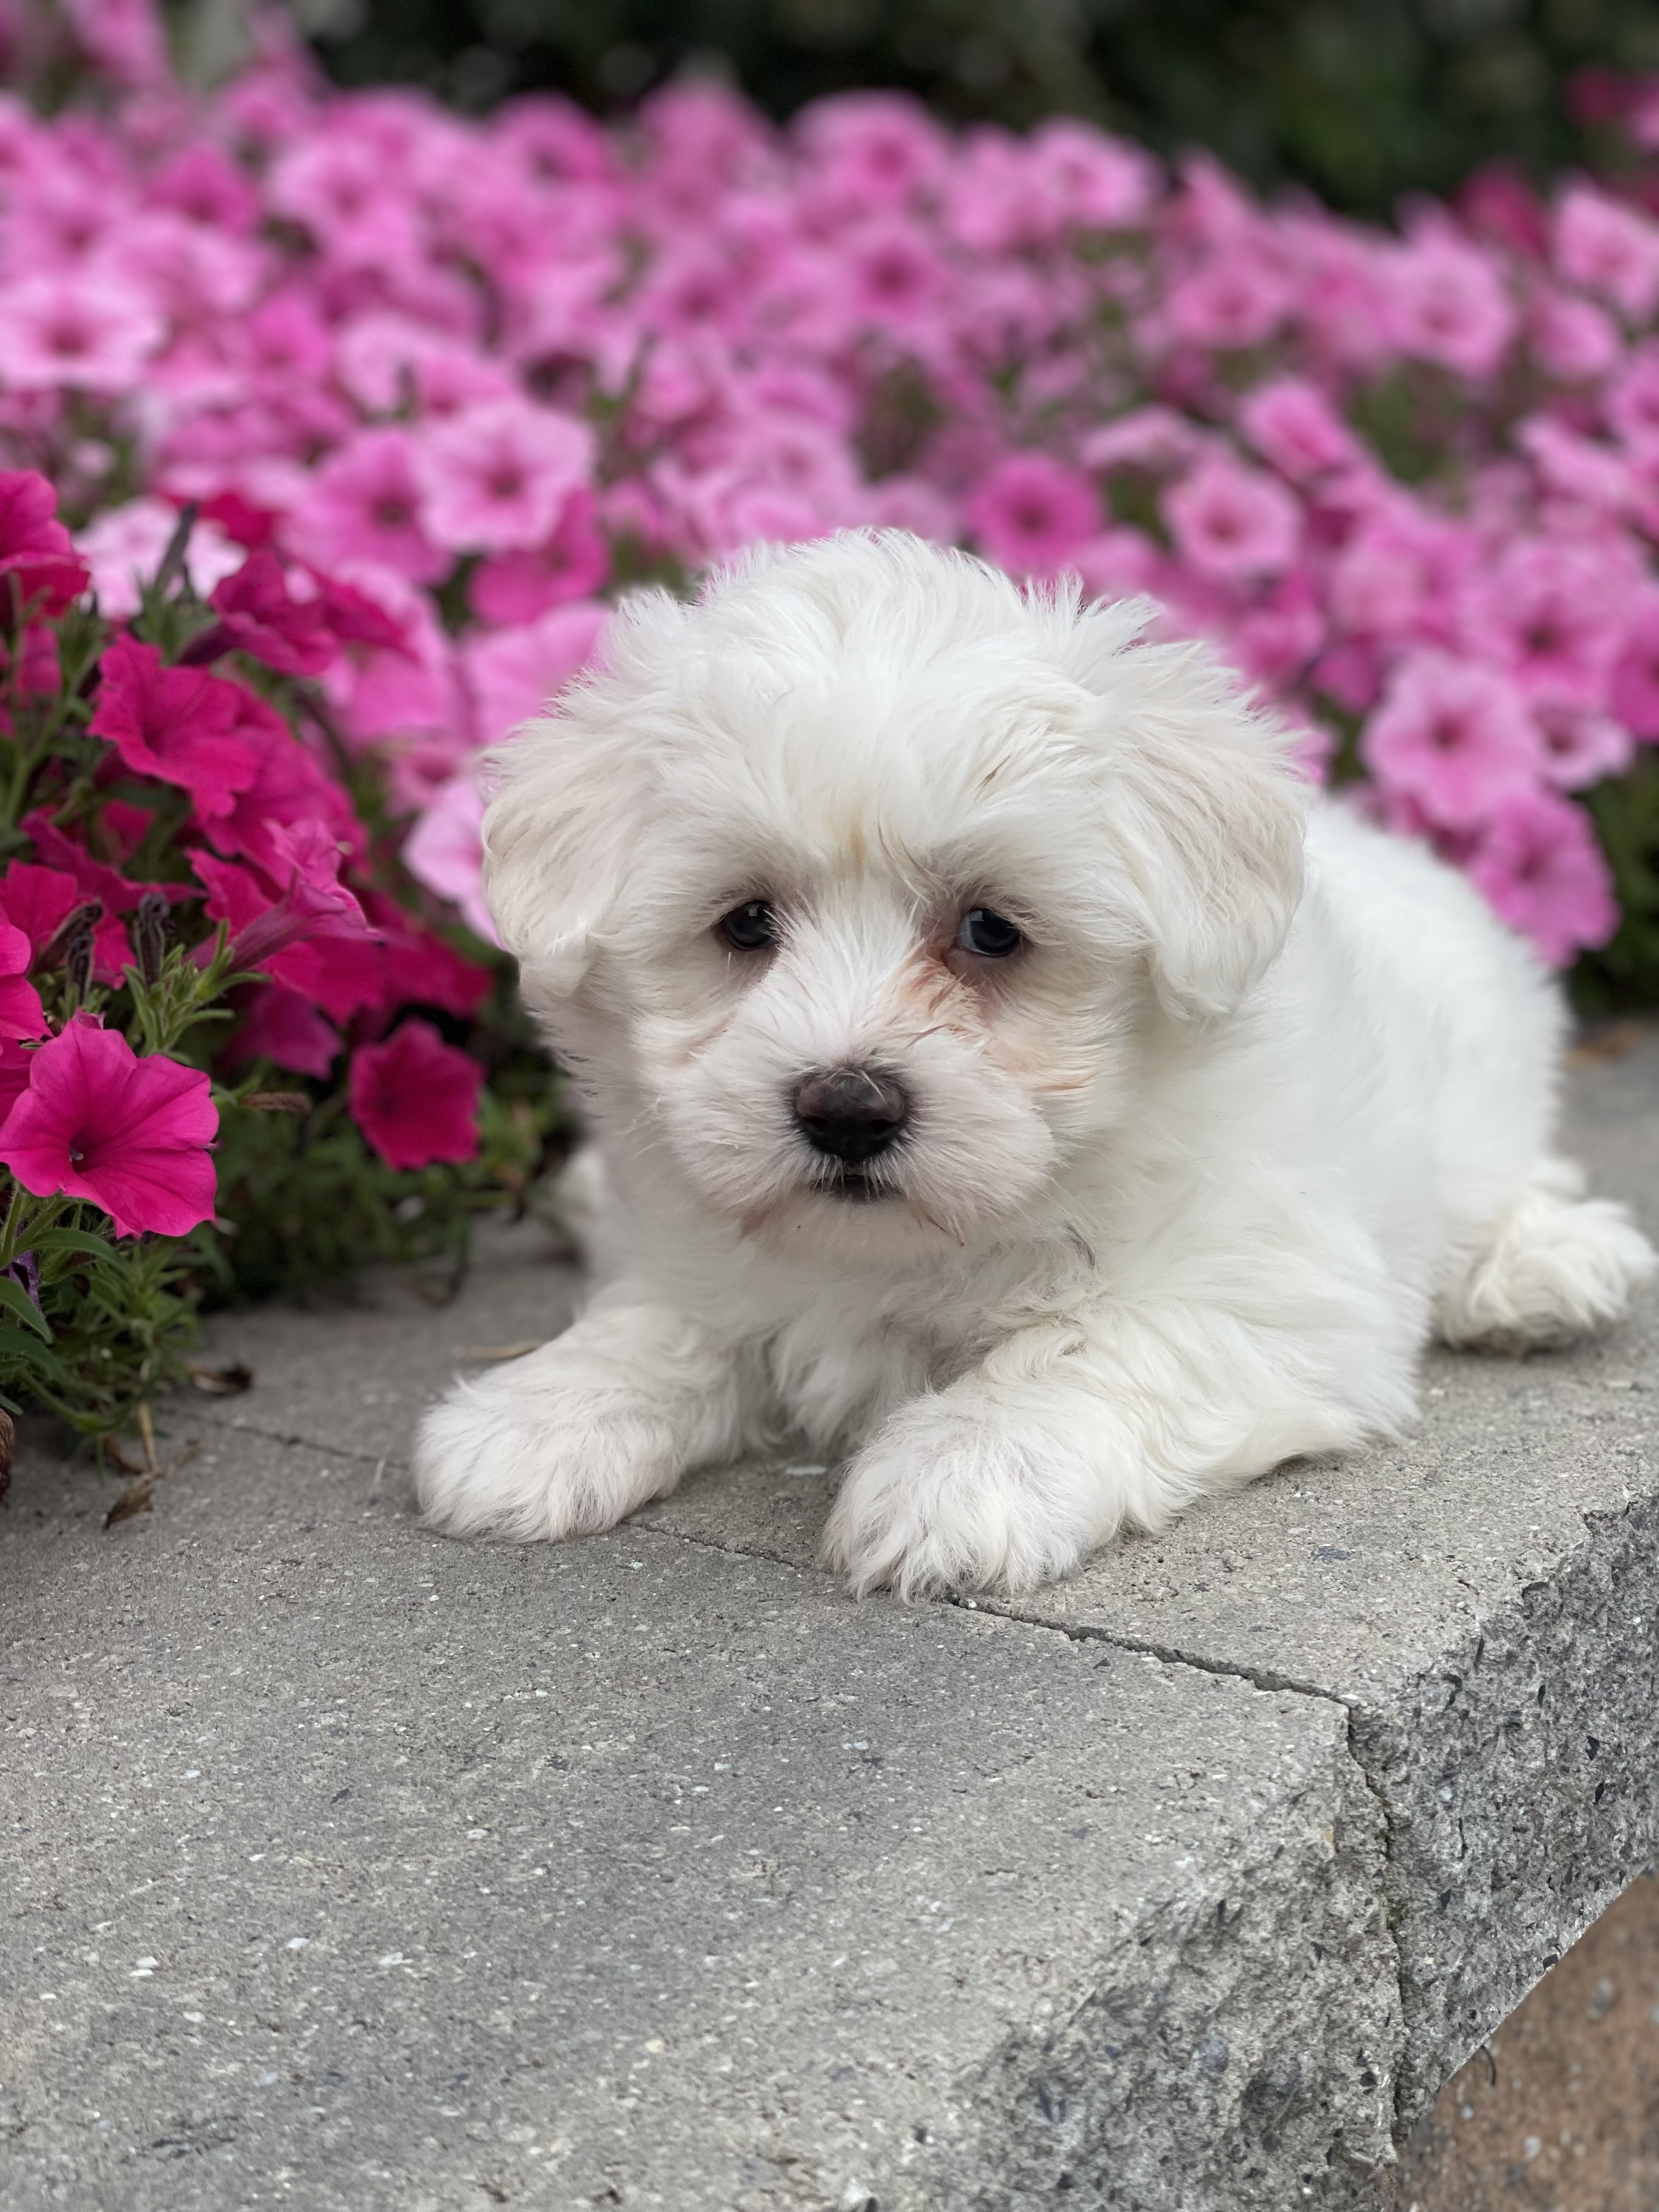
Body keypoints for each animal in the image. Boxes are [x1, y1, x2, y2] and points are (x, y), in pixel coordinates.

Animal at [413, 526, 1654, 1601]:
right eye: (746, 921)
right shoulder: (701, 1237)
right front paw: (543, 1414)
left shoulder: (1269, 1282)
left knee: (1509, 1182)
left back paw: (1540, 1268)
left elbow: (1094, 1345)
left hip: (1480, 1088)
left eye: (991, 931)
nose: (846, 1109)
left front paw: (961, 1472)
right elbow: (664, 1318)